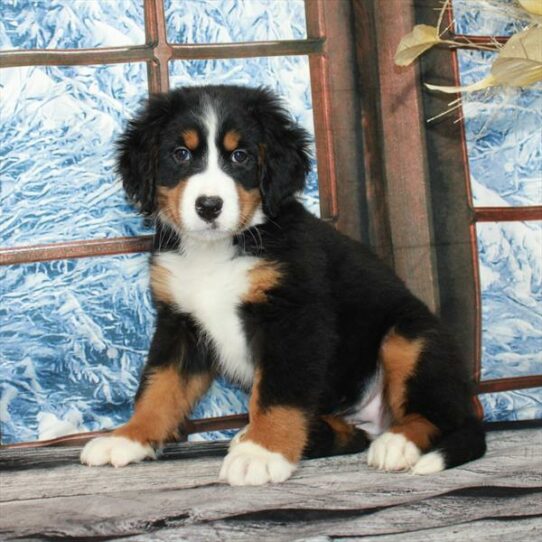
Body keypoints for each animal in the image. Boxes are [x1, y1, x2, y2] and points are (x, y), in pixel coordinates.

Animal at [81, 86, 488, 488]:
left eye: (241, 156)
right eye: (180, 154)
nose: (209, 206)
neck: (219, 250)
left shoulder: (293, 319)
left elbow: (278, 393)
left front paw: (262, 453)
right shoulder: (180, 322)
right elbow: (159, 387)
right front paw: (129, 437)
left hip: (410, 337)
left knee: (440, 415)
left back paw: (396, 444)